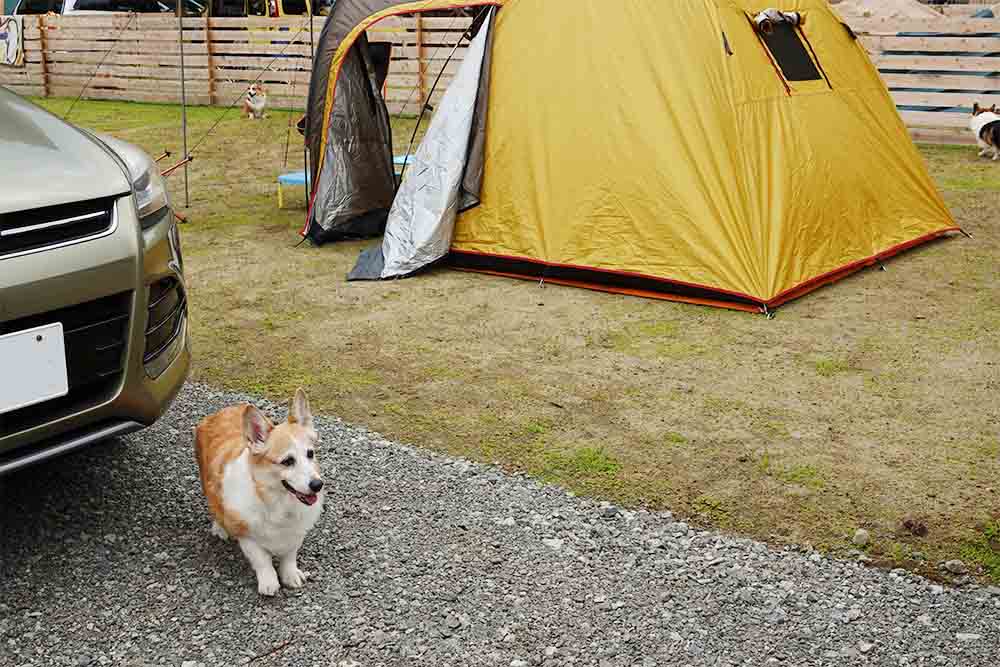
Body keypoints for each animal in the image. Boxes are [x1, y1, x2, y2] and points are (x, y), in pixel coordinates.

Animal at [192, 388, 324, 596]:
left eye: (310, 454)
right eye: (287, 461)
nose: (318, 485)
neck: (278, 502)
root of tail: (220, 412)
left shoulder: (296, 533)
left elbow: (289, 555)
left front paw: (290, 575)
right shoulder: (246, 536)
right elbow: (262, 560)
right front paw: (269, 583)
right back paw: (219, 528)